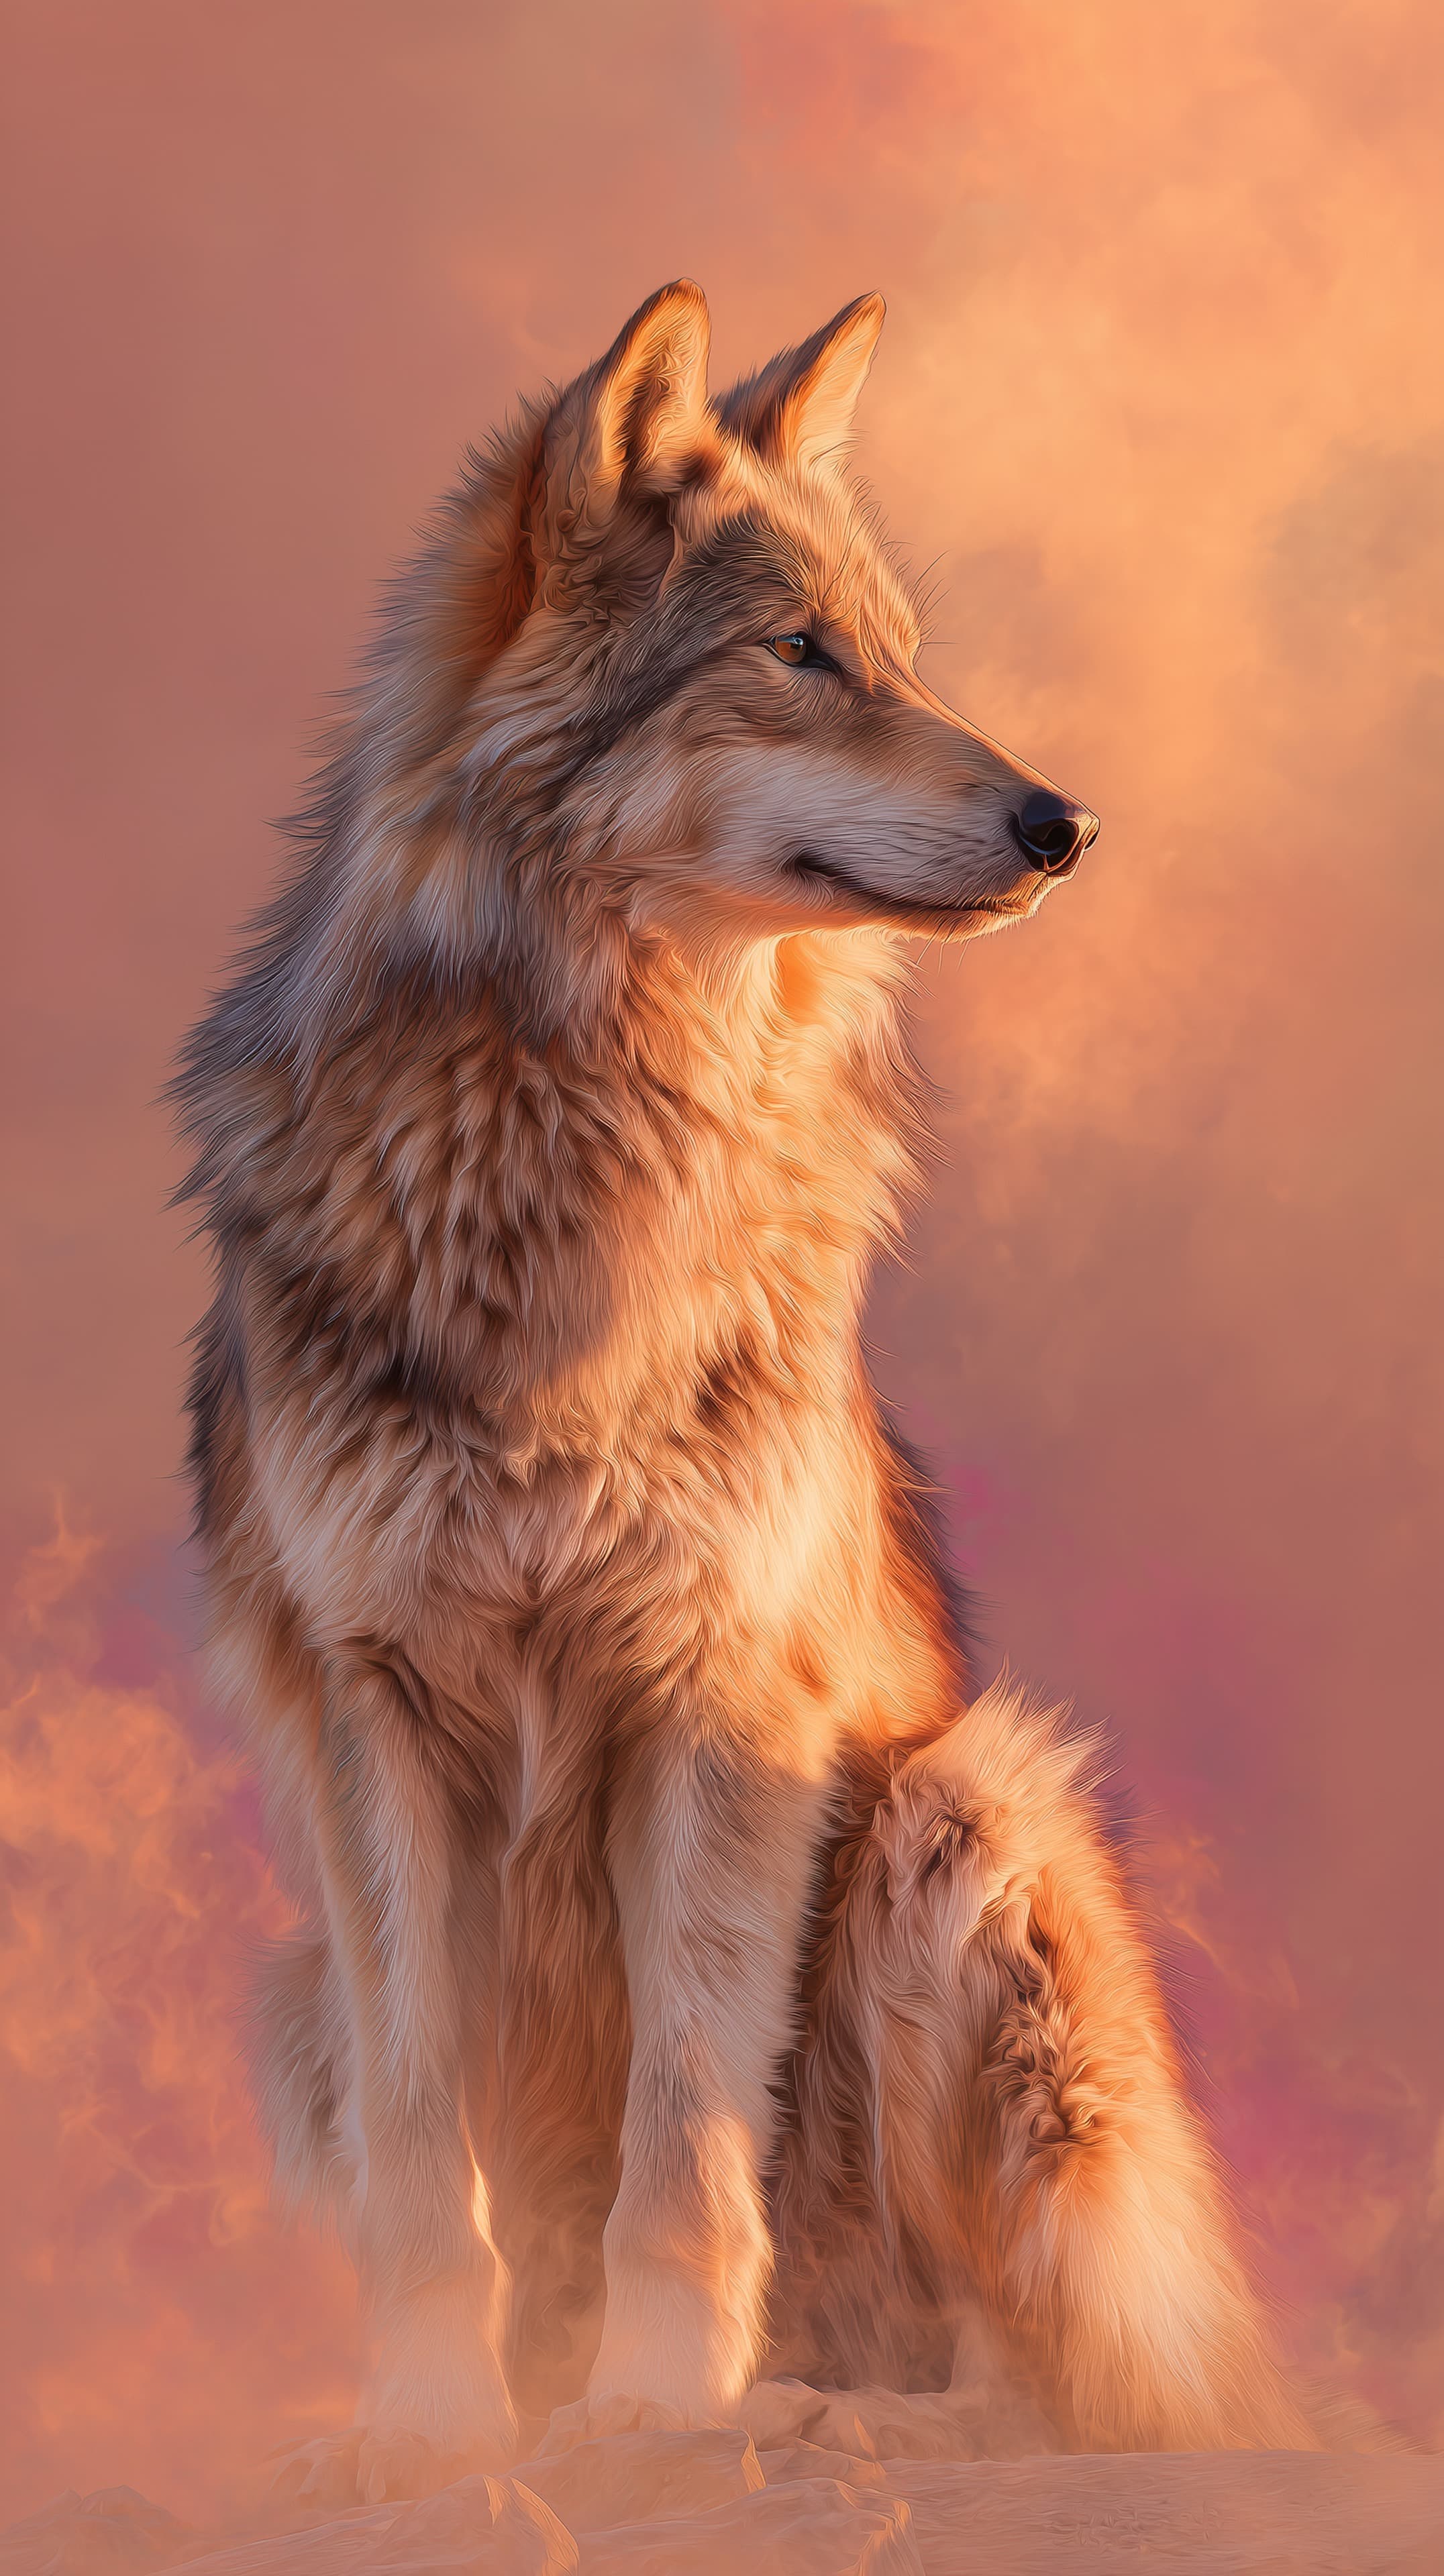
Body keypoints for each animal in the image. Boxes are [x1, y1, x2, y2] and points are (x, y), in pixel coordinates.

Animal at [176, 282, 1316, 2501]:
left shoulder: (727, 1697)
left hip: (968, 1811)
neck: (585, 1128)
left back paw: (830, 2410)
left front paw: (653, 2408)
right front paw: (439, 2426)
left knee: (1050, 2379)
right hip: (287, 1984)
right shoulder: (367, 1708)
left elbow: (683, 2148)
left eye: (902, 653)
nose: (1067, 825)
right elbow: (433, 2149)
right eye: (799, 657)